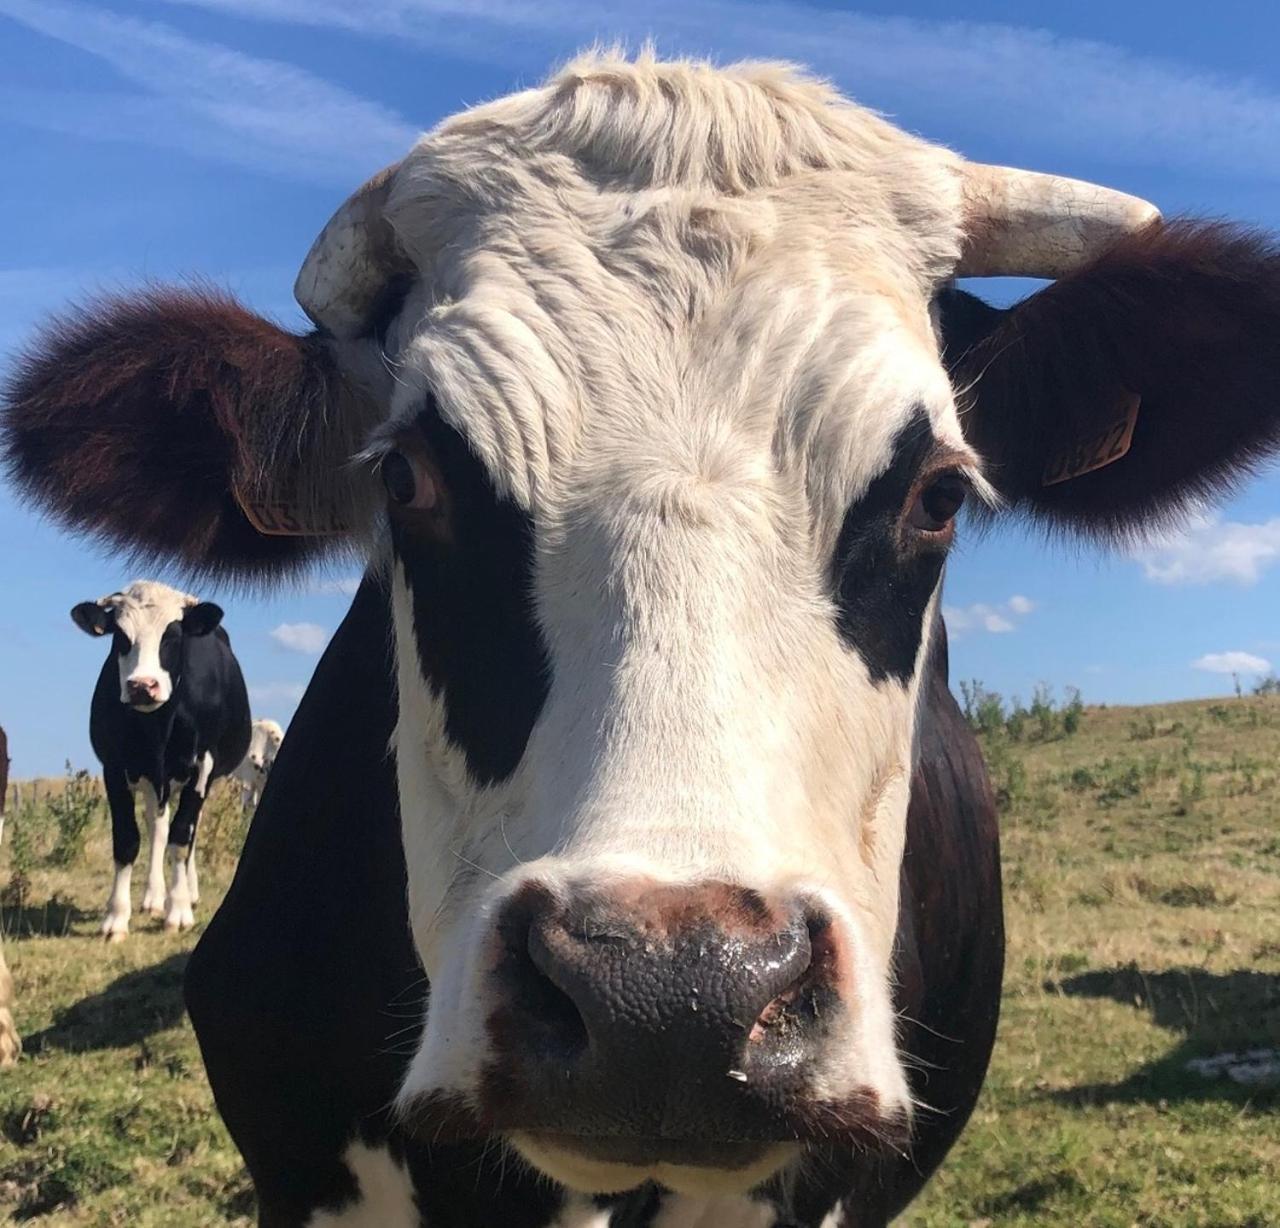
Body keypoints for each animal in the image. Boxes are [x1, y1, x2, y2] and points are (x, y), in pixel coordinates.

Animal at [67, 581, 252, 937]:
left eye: (173, 636)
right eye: (119, 636)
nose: (142, 685)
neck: (157, 726)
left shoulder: (203, 765)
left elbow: (181, 839)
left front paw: (178, 910)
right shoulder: (115, 766)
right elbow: (127, 840)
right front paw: (116, 918)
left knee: (187, 830)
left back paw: (187, 893)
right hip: (156, 780)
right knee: (157, 827)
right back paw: (153, 896)